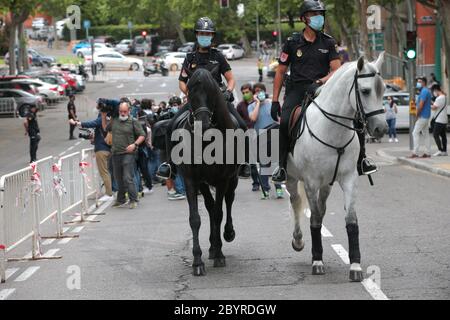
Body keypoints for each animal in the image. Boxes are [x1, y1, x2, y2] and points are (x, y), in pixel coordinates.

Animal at [172, 69, 241, 276]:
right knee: (210, 207)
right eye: (190, 93)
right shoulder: (191, 180)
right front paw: (197, 261)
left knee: (228, 201)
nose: (202, 125)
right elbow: (195, 219)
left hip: (233, 179)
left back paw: (227, 234)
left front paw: (219, 254)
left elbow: (219, 213)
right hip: (204, 183)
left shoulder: (223, 179)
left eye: (211, 93)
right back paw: (211, 246)